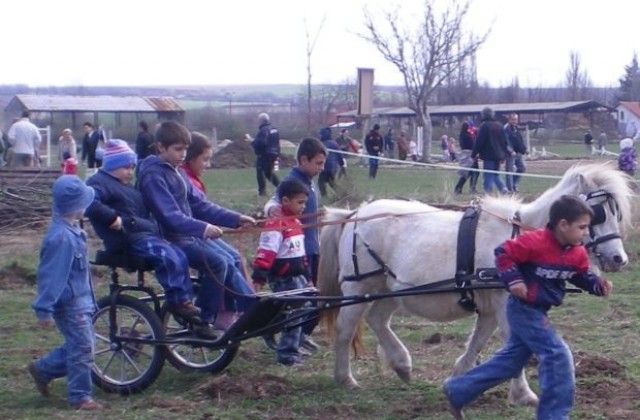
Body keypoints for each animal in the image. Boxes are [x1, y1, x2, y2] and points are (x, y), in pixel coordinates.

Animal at [318, 162, 632, 406]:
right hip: (359, 287)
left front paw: (459, 378)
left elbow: (479, 342)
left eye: (614, 212)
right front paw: (523, 394)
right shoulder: (504, 303)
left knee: (378, 319)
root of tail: (354, 214)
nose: (619, 259)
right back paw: (345, 378)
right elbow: (512, 343)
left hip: (389, 290)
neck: (523, 238)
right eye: (597, 213)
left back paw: (401, 365)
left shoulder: (491, 308)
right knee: (346, 329)